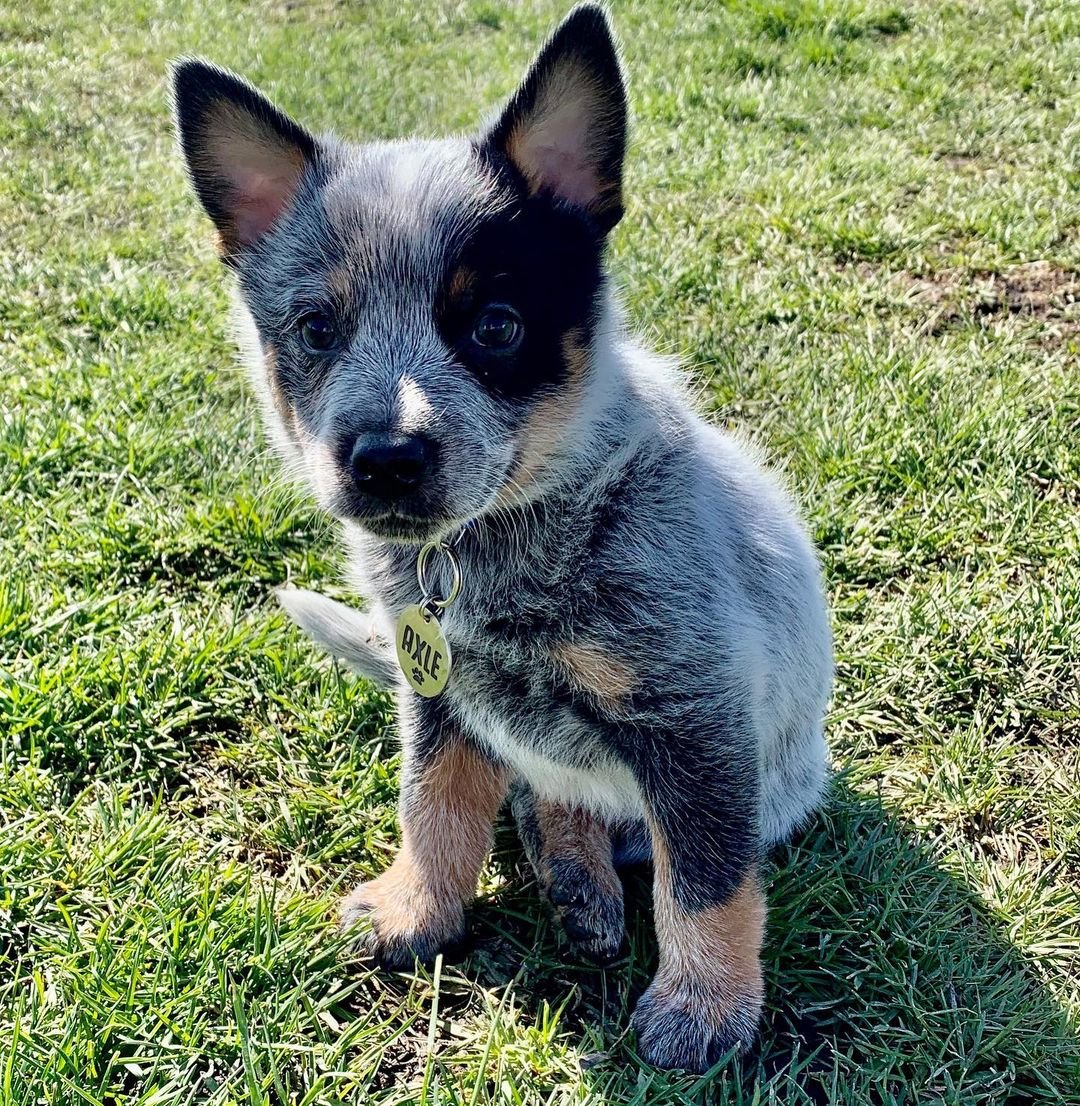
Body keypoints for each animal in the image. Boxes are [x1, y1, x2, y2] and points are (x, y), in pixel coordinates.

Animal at [172, 2, 836, 1070]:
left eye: (492, 325)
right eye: (316, 328)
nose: (386, 458)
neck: (498, 552)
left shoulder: (696, 718)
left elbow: (706, 882)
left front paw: (705, 1004)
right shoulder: (438, 694)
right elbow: (434, 804)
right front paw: (416, 907)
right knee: (546, 796)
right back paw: (576, 881)